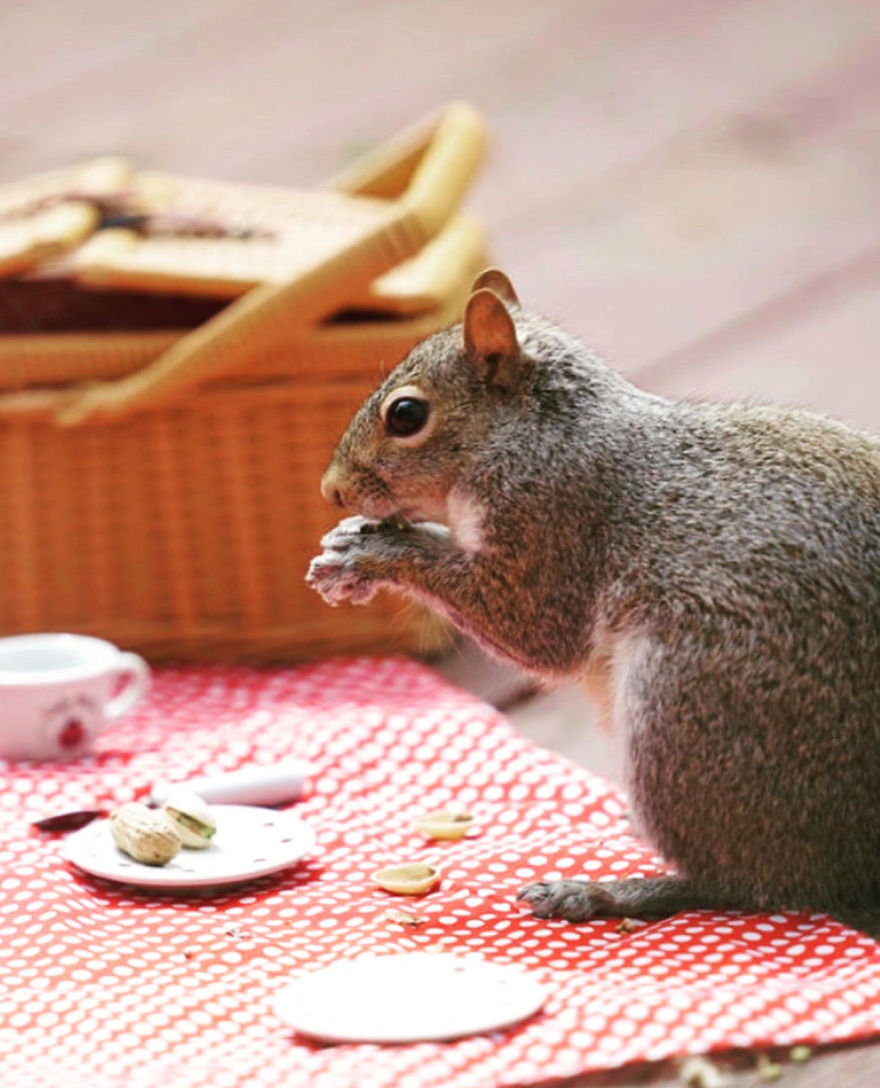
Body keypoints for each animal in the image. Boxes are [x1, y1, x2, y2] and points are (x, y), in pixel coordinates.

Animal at [307, 268, 880, 925]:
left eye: (405, 414)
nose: (331, 490)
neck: (538, 435)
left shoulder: (552, 522)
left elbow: (535, 631)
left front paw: (373, 551)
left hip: (690, 710)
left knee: (745, 882)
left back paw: (605, 892)